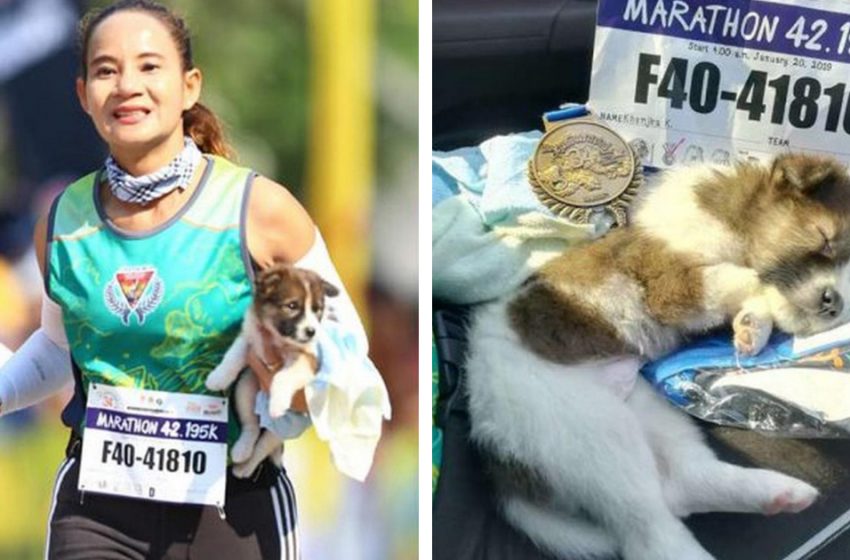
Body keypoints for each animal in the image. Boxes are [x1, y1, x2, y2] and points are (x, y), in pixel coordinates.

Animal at [205, 262, 338, 476]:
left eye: (317, 310)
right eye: (292, 306)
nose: (311, 331)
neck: (278, 339)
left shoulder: (306, 361)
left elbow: (283, 376)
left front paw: (277, 403)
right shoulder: (250, 337)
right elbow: (233, 355)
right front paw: (218, 378)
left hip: (285, 428)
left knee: (263, 447)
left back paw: (245, 468)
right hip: (245, 387)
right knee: (251, 425)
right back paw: (242, 451)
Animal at [464, 153, 848, 560]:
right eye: (825, 239)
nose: (835, 305)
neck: (729, 217)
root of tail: (495, 458)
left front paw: (751, 329)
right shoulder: (673, 285)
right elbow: (751, 278)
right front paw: (769, 314)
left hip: (644, 408)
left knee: (682, 483)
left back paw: (776, 494)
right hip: (583, 429)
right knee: (649, 532)